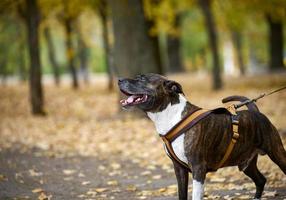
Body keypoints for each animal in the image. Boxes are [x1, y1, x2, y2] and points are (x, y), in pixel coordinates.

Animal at [118, 73, 286, 200]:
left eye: (142, 79)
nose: (119, 79)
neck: (171, 115)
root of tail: (254, 110)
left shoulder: (198, 168)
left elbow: (195, 196)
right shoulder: (179, 169)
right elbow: (182, 194)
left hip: (277, 153)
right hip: (245, 163)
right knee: (260, 180)